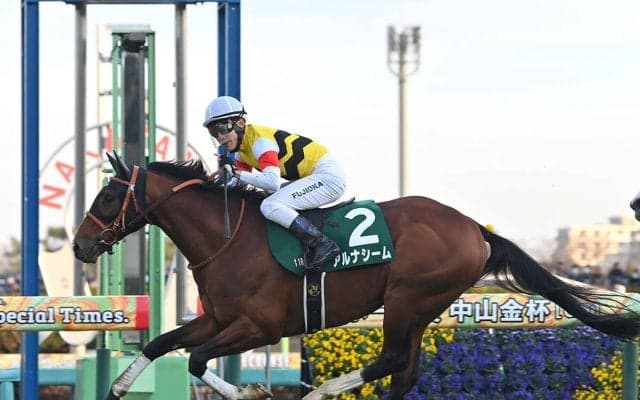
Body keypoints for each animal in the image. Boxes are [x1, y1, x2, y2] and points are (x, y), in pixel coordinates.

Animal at [73, 152, 640, 400]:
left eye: (108, 197)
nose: (79, 245)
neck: (227, 238)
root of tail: (475, 228)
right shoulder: (217, 320)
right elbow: (161, 344)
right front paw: (118, 386)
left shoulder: (260, 327)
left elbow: (193, 359)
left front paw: (253, 393)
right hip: (421, 307)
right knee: (405, 370)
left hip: (408, 298)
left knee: (390, 361)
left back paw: (319, 392)